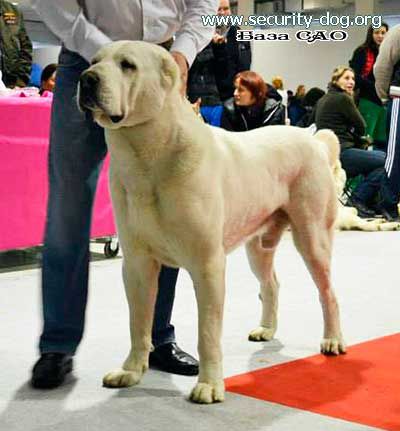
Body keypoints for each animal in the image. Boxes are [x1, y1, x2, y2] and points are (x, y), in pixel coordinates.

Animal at [79, 41, 346, 404]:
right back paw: (266, 329)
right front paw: (131, 372)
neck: (147, 155)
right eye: (94, 61)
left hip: (312, 236)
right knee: (271, 284)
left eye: (127, 65)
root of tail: (315, 140)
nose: (86, 78)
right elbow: (138, 322)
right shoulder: (136, 263)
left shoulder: (207, 264)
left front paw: (209, 386)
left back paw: (333, 340)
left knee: (328, 291)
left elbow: (207, 332)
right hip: (258, 247)